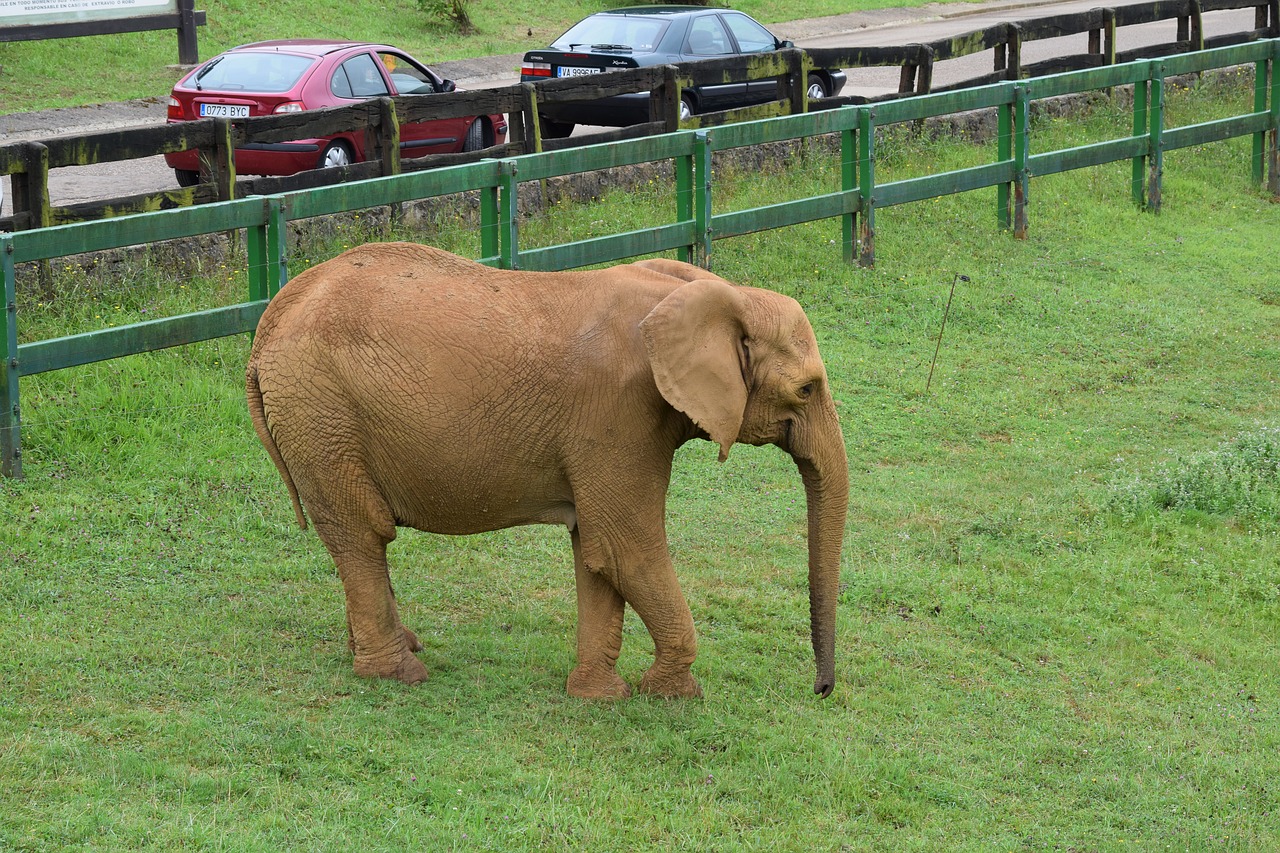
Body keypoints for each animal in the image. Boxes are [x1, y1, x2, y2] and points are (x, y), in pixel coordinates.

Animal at [248, 240, 849, 696]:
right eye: (805, 389)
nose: (820, 691)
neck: (708, 293)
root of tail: (269, 324)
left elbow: (596, 552)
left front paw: (598, 696)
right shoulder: (620, 414)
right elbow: (627, 548)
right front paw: (672, 694)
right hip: (321, 414)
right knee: (362, 533)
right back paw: (401, 674)